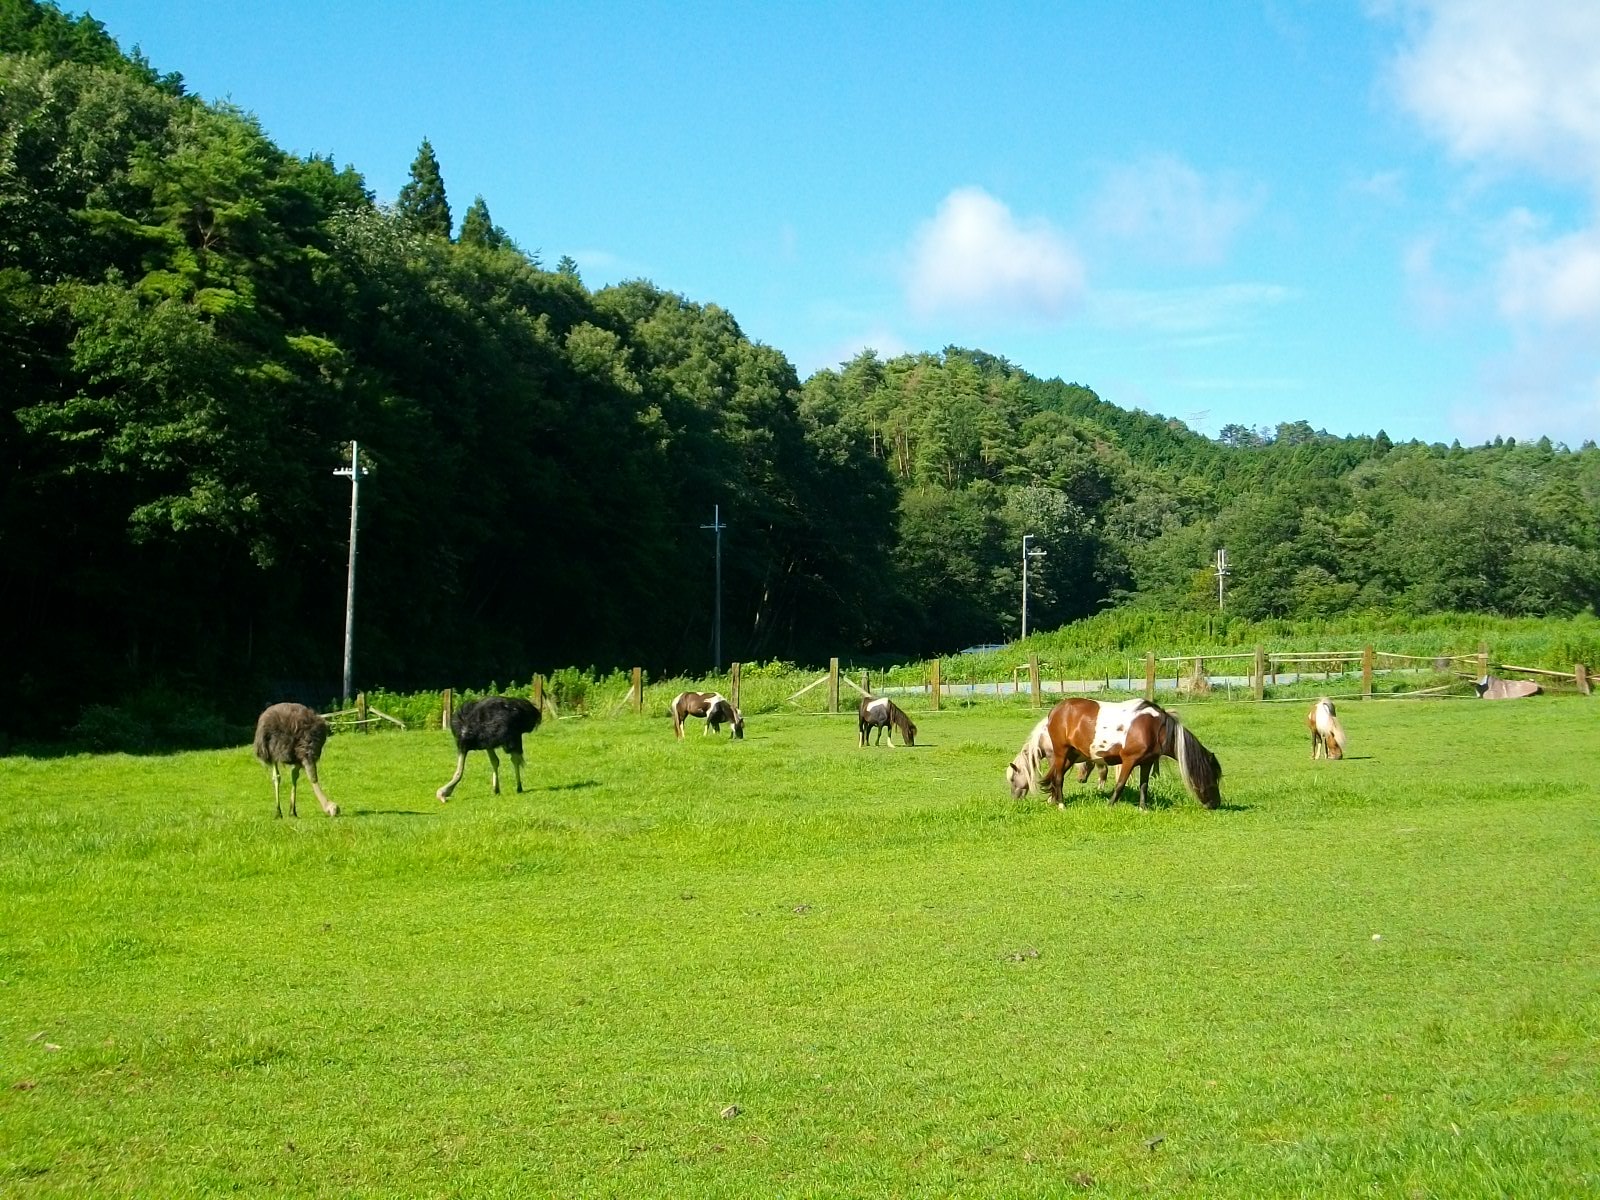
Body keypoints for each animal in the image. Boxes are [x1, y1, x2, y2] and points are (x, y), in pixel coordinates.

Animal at [1036, 700, 1222, 812]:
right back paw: (1061, 805)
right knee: (1058, 777)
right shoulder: (1129, 760)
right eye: (1213, 776)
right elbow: (1120, 784)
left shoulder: (1147, 762)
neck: (1154, 728)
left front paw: (1143, 809)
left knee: (1056, 776)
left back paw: (1053, 800)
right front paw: (1110, 805)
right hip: (1061, 752)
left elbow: (1144, 785)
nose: (1216, 803)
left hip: (1072, 755)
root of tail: (1055, 710)